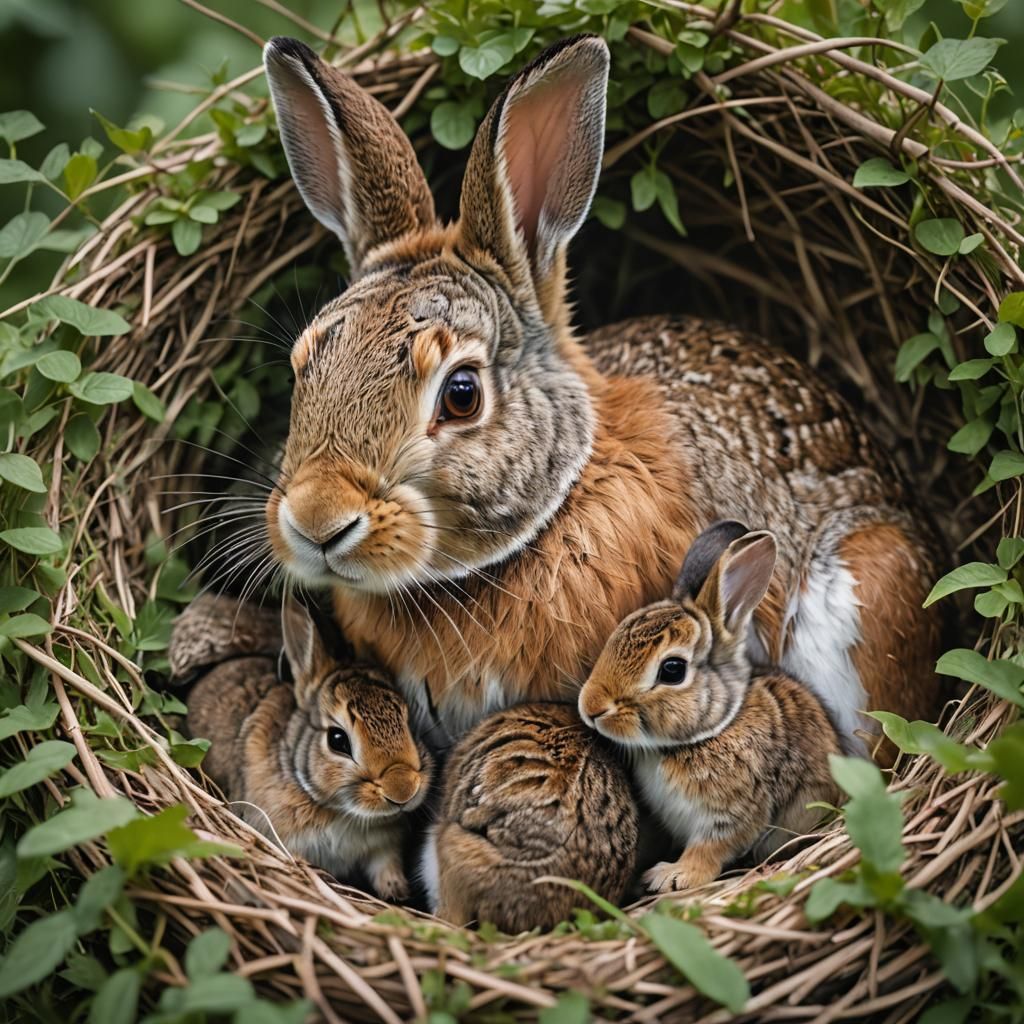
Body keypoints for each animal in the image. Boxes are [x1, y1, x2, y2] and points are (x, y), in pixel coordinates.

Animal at [177, 595, 432, 900]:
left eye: (410, 723)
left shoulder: (383, 848)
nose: (403, 790)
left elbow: (385, 868)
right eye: (337, 740)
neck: (341, 812)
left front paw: (397, 892)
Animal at [579, 522, 842, 894]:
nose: (591, 708)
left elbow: (710, 849)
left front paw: (673, 876)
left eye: (672, 670)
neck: (714, 728)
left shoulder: (733, 812)